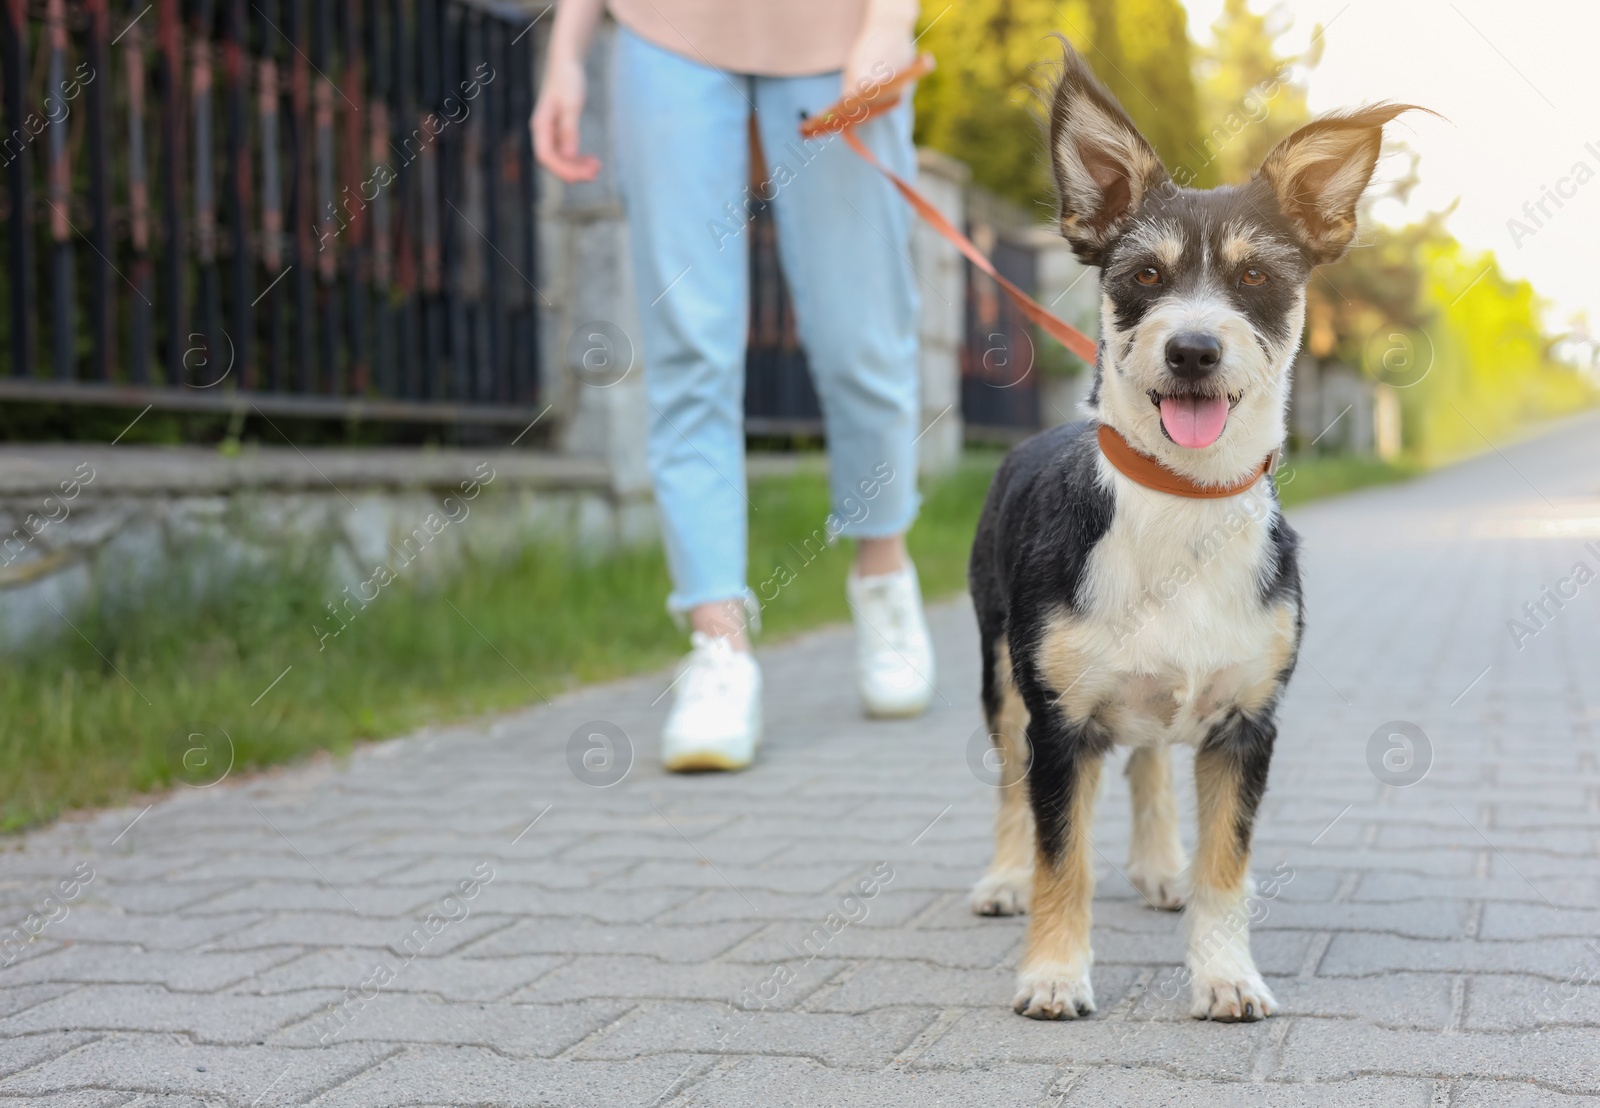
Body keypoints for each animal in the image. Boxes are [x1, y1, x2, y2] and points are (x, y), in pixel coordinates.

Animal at [960, 49, 1414, 1018]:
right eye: (1142, 277)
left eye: (1254, 279)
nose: (1194, 350)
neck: (1181, 504)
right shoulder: (1059, 719)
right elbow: (1063, 857)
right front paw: (1053, 973)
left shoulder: (1247, 724)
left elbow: (1225, 867)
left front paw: (1225, 973)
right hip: (1000, 670)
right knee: (1015, 790)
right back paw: (1004, 879)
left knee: (1146, 761)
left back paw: (1159, 866)